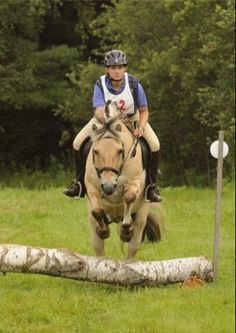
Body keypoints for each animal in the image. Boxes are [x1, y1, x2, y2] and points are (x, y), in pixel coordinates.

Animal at [84, 101, 163, 260]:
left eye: (120, 151)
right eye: (95, 151)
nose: (108, 186)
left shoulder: (136, 181)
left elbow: (129, 197)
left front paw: (125, 230)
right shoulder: (91, 185)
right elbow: (96, 210)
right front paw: (103, 231)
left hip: (141, 216)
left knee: (133, 247)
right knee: (98, 247)